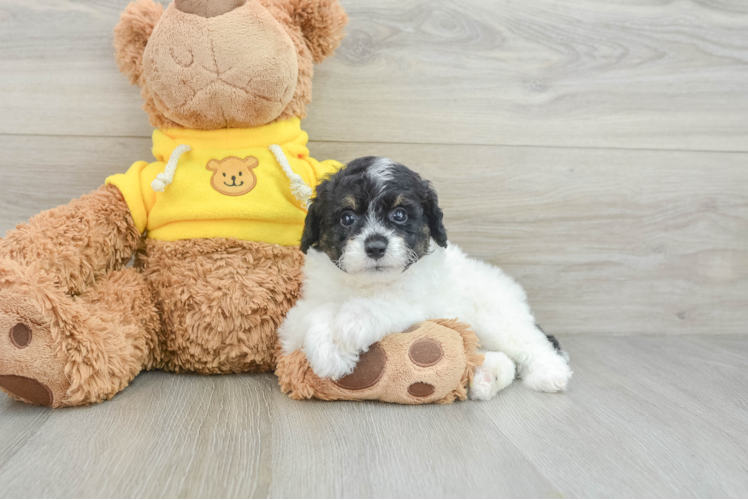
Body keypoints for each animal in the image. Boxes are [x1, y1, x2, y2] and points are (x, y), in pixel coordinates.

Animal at [280, 158, 572, 400]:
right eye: (347, 218)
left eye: (399, 215)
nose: (375, 247)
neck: (368, 283)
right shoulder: (304, 309)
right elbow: (316, 313)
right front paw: (328, 352)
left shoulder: (417, 302)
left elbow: (381, 304)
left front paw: (350, 326)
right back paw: (486, 378)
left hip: (496, 316)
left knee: (529, 341)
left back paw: (550, 373)